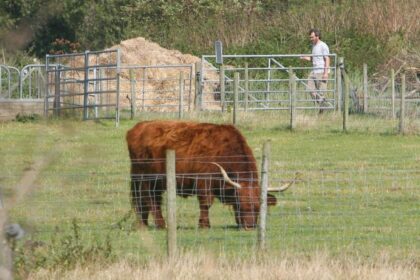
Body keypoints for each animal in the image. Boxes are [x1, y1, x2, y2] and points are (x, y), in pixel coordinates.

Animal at [125, 120, 282, 230]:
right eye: (239, 204)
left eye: (258, 207)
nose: (249, 226)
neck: (225, 152)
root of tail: (138, 127)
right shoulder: (203, 182)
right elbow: (205, 204)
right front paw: (204, 225)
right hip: (145, 179)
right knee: (148, 199)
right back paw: (160, 224)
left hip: (154, 182)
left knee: (148, 200)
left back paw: (144, 224)